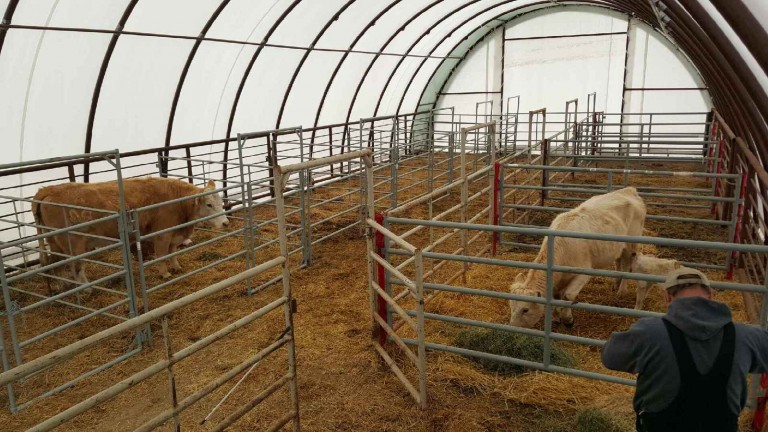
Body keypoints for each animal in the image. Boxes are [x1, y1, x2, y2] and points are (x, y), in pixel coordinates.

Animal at [35, 177, 228, 286]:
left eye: (221, 202)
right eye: (209, 204)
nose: (226, 223)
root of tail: (47, 190)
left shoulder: (174, 232)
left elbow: (172, 252)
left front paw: (176, 266)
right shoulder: (162, 233)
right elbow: (162, 254)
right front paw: (165, 273)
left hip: (55, 242)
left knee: (56, 265)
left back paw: (63, 287)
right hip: (73, 244)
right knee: (75, 266)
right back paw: (86, 288)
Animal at [510, 186, 648, 328]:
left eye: (525, 309)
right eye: (511, 306)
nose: (512, 326)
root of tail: (629, 190)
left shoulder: (583, 273)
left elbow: (568, 296)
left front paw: (568, 319)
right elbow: (556, 296)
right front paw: (556, 317)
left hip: (632, 244)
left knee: (626, 265)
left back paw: (621, 290)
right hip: (619, 247)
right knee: (618, 261)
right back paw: (616, 284)